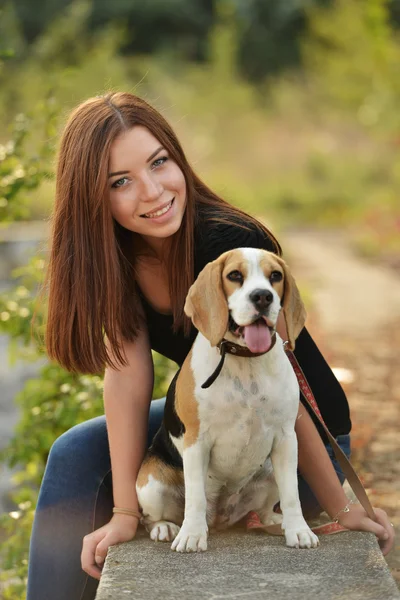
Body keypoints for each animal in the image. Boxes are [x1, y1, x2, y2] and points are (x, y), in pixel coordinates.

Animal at [137, 247, 318, 552]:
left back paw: (273, 520)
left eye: (275, 276)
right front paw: (192, 535)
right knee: (153, 517)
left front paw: (298, 530)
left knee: (265, 506)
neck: (244, 359)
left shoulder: (285, 438)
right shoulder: (196, 441)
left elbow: (292, 494)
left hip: (270, 470)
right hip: (151, 483)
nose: (263, 296)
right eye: (234, 275)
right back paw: (166, 527)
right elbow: (195, 496)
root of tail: (220, 518)